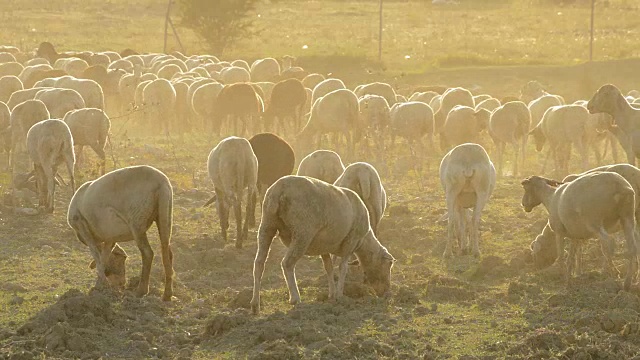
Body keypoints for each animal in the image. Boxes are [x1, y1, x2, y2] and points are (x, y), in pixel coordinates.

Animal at [67, 166, 175, 300]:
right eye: (121, 260)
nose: (122, 284)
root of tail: (161, 181)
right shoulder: (110, 237)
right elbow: (103, 258)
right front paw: (100, 286)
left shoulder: (80, 223)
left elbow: (97, 256)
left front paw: (102, 285)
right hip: (164, 215)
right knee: (167, 252)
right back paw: (167, 295)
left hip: (137, 221)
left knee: (147, 253)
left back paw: (141, 291)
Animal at [250, 176, 396, 314]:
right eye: (389, 265)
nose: (387, 294)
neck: (364, 242)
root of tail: (279, 189)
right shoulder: (350, 242)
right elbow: (342, 268)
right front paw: (339, 295)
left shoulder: (323, 246)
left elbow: (328, 268)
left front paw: (332, 294)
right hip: (303, 232)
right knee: (287, 264)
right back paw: (295, 298)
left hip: (267, 225)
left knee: (259, 263)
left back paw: (255, 304)